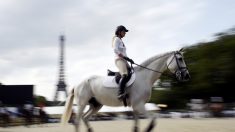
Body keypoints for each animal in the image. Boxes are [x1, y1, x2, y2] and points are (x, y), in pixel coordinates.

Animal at [61, 50, 191, 131]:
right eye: (180, 59)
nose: (186, 76)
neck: (144, 77)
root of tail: (77, 84)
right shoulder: (139, 105)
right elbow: (153, 121)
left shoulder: (136, 107)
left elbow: (136, 127)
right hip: (82, 104)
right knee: (77, 121)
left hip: (96, 105)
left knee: (85, 118)